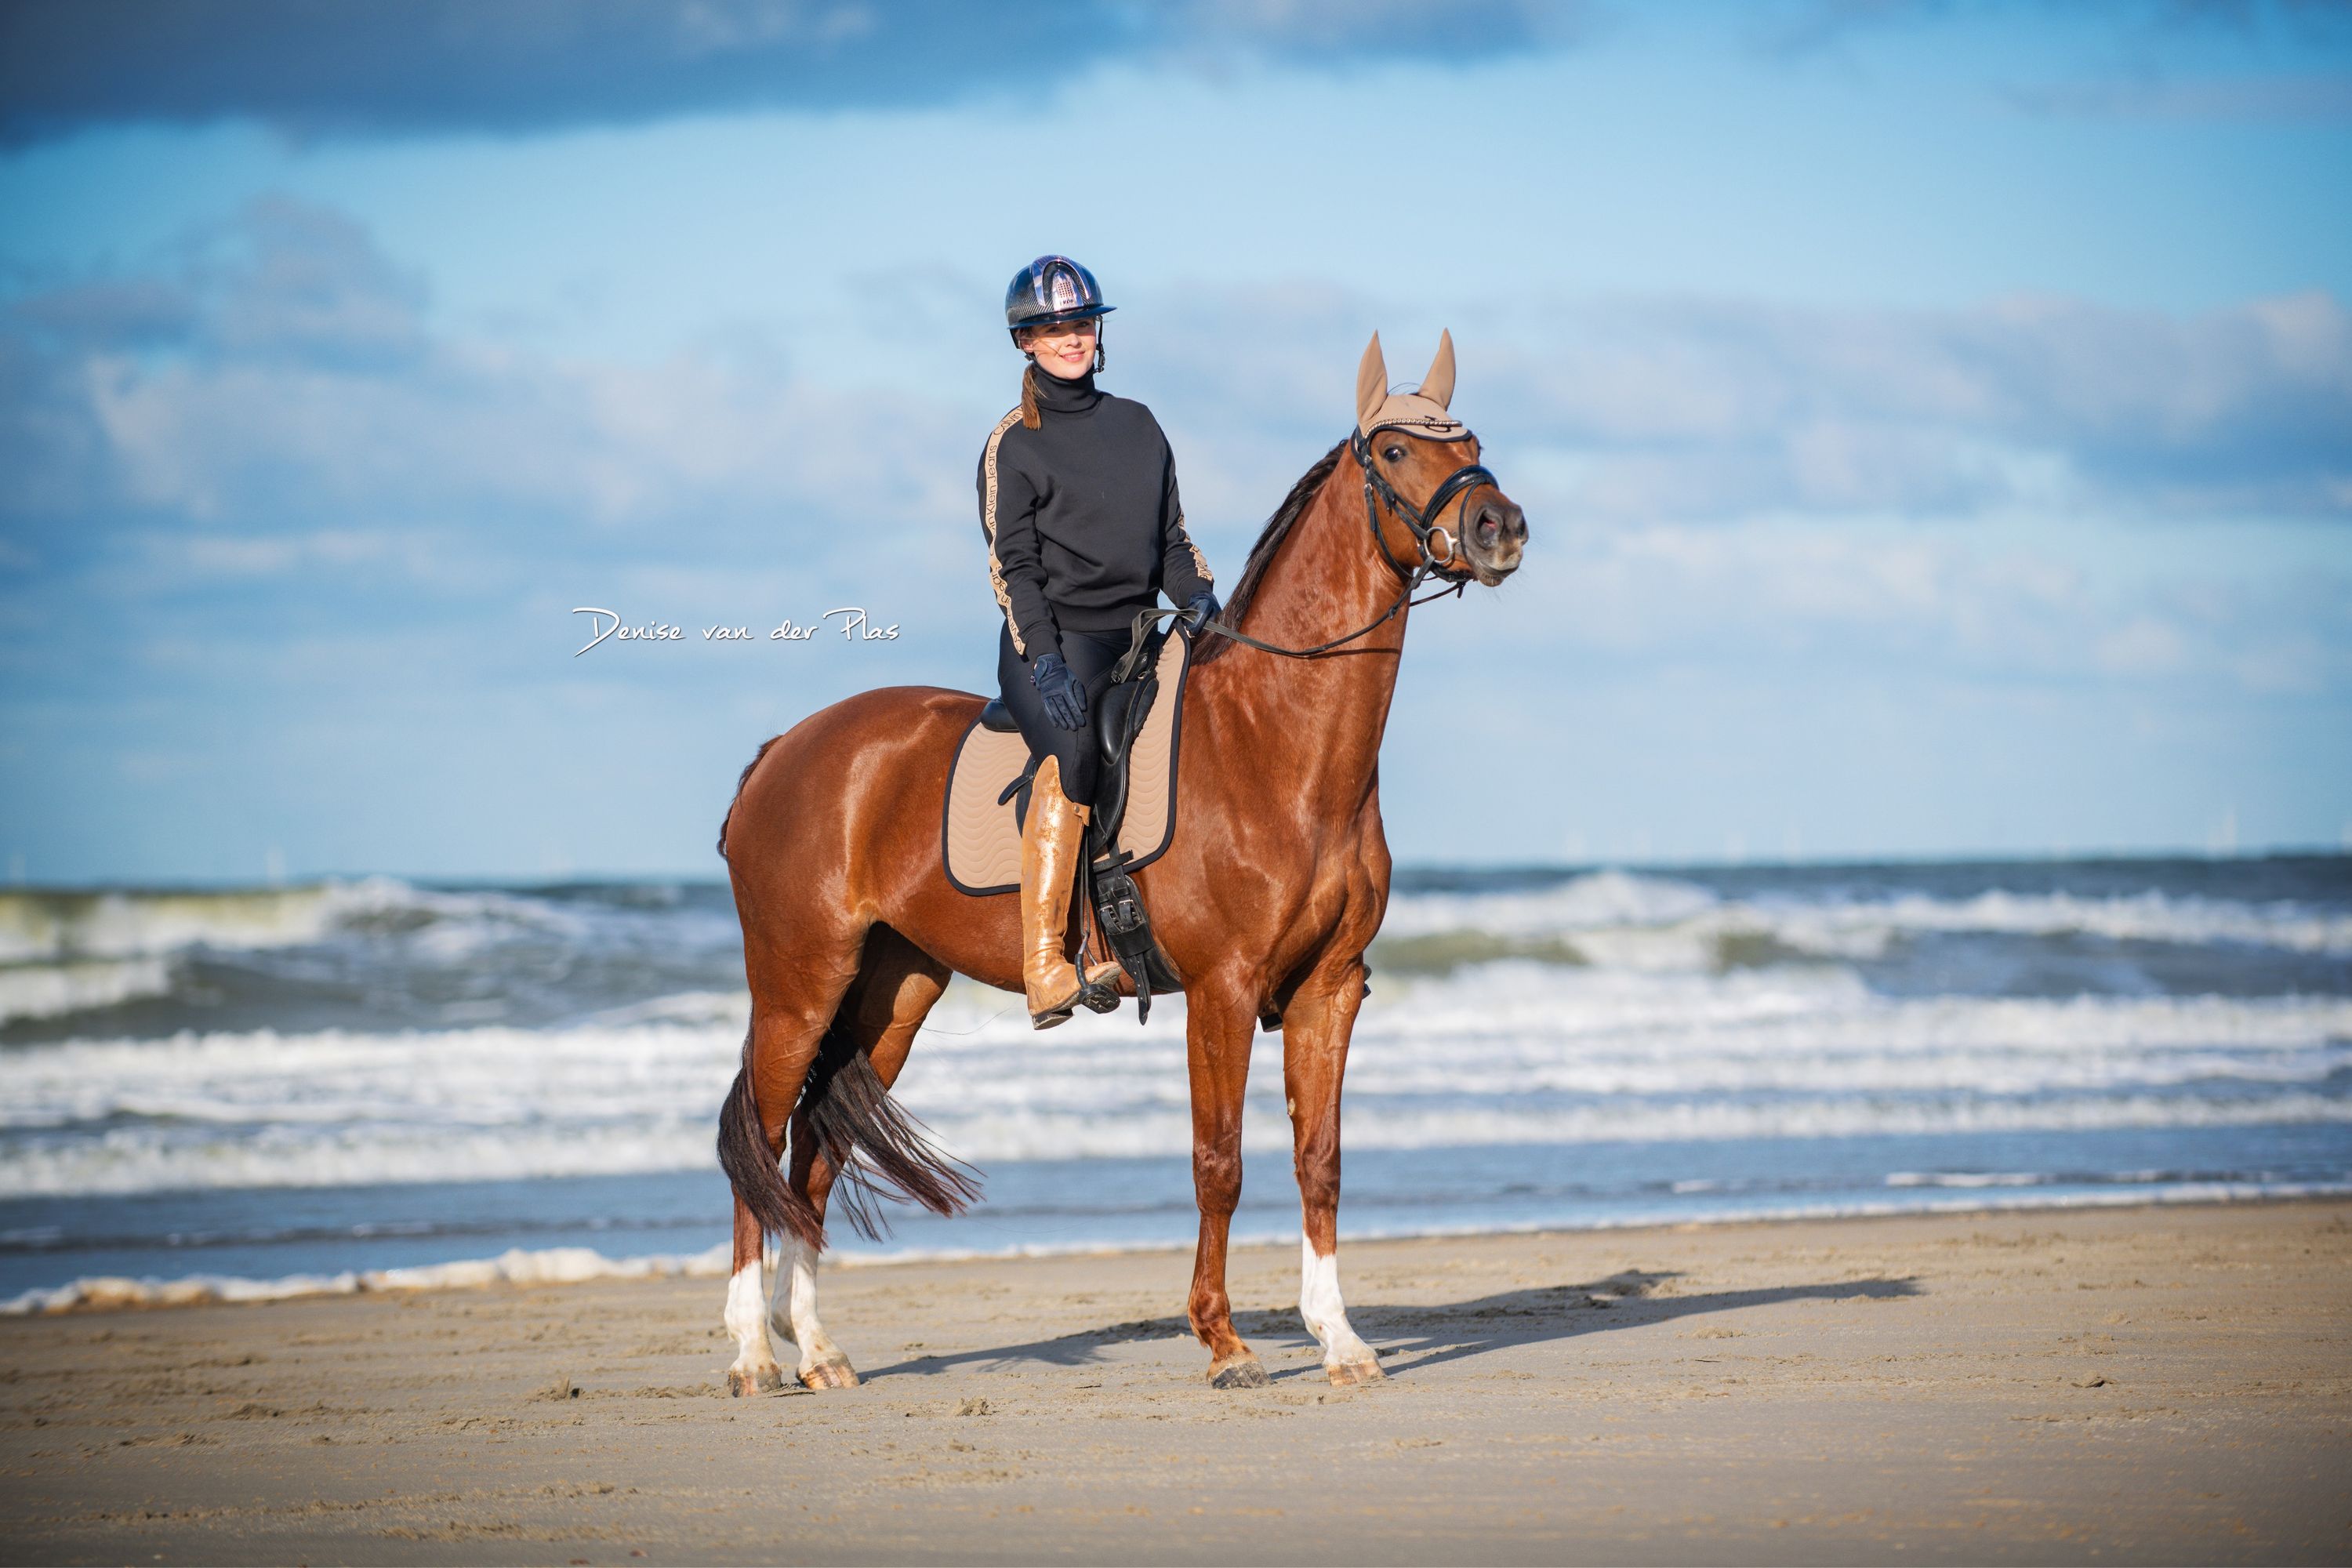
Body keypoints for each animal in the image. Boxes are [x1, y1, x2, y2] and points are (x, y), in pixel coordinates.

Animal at [713, 331, 1528, 1394]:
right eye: (1393, 451)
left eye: (1470, 442)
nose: (1499, 526)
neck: (1274, 741)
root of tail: (782, 751)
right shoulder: (1224, 989)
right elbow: (1219, 1160)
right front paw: (1225, 1343)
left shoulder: (1330, 986)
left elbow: (1320, 1157)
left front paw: (1341, 1339)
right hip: (798, 986)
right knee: (761, 1138)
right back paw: (752, 1353)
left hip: (891, 993)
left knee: (814, 1151)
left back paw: (817, 1349)